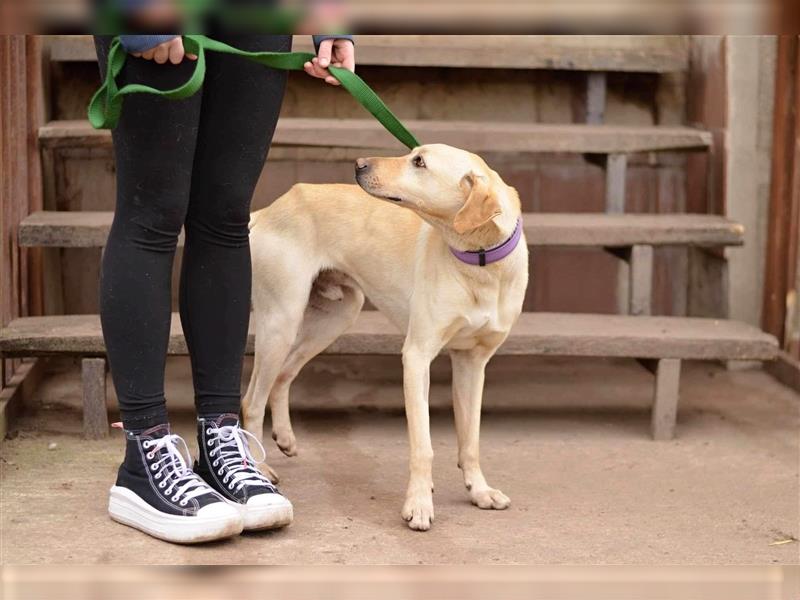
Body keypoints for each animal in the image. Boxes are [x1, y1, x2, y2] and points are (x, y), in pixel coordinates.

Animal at [244, 144, 532, 528]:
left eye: (419, 162)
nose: (358, 163)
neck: (482, 264)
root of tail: (269, 208)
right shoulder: (417, 357)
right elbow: (423, 446)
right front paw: (419, 504)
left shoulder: (472, 363)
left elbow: (470, 440)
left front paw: (479, 491)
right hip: (282, 321)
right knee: (251, 401)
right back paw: (258, 468)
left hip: (335, 318)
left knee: (284, 375)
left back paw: (286, 437)